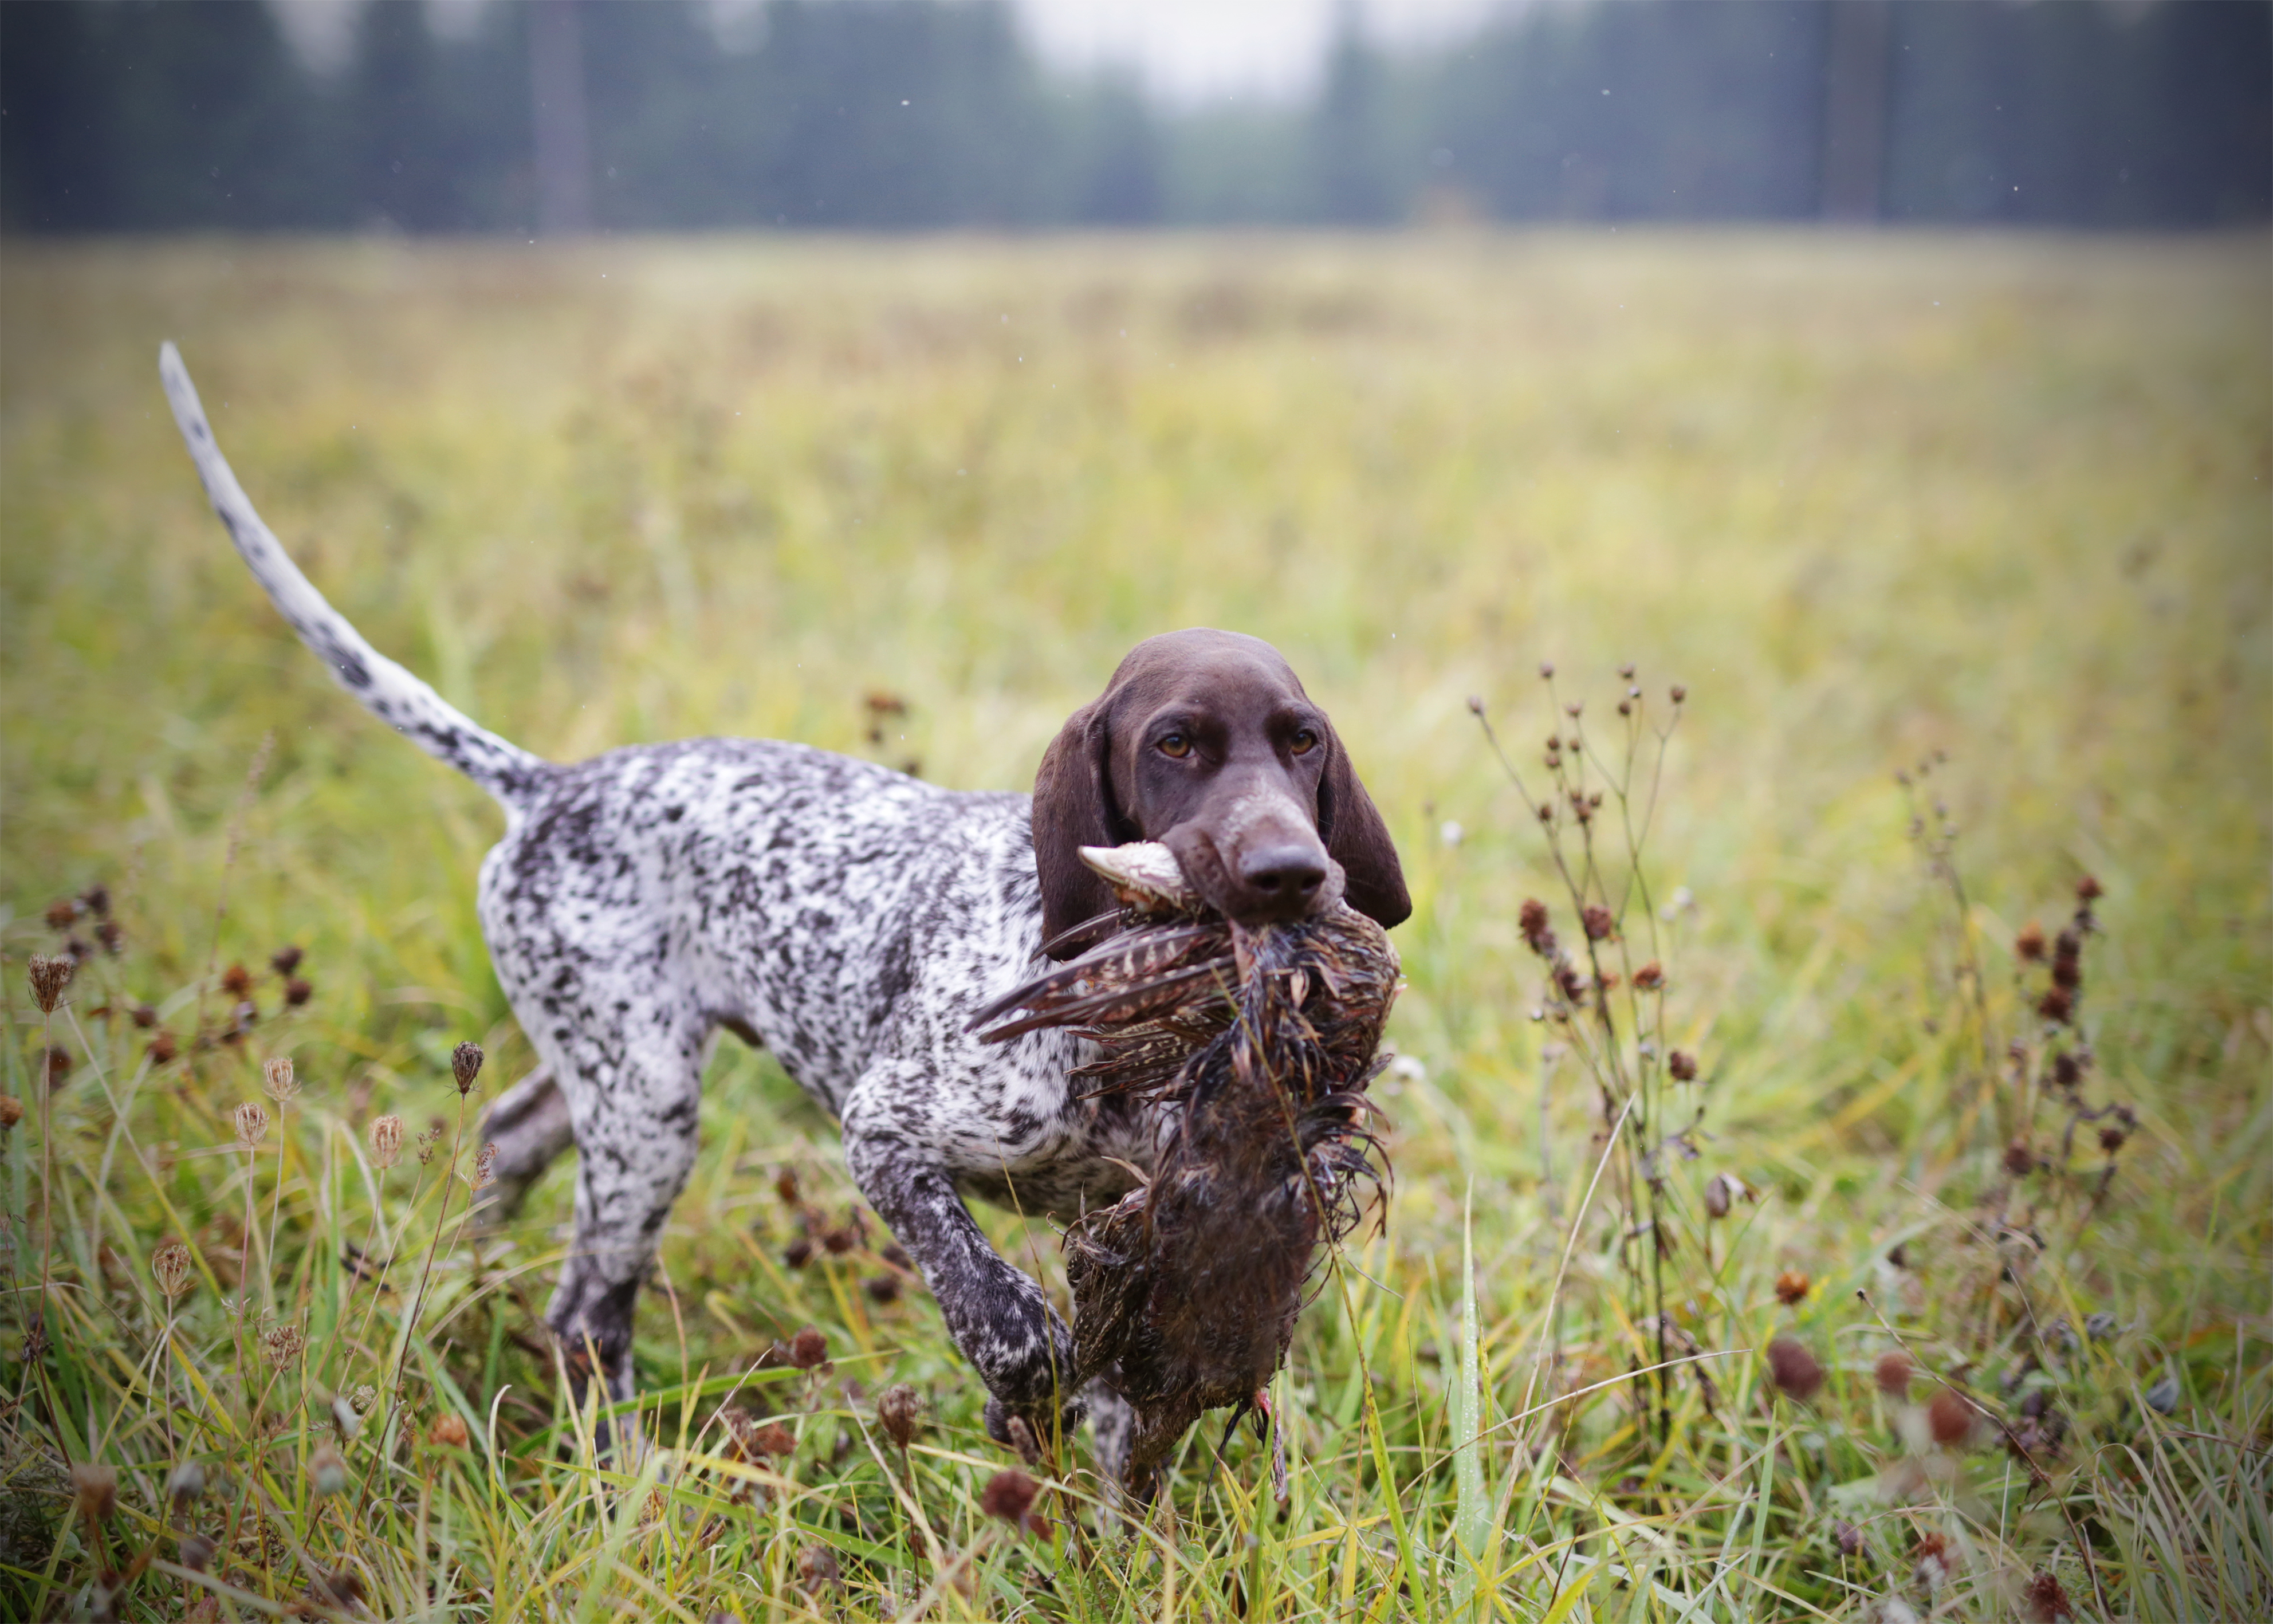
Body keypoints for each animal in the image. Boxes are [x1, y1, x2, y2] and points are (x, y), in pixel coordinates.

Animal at [160, 341, 1400, 1456]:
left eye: (1301, 741)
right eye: (1174, 743)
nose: (1289, 874)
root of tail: (553, 786)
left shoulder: (1138, 1209)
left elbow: (1117, 1384)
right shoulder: (886, 1130)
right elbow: (999, 1312)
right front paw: (1022, 1380)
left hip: (613, 1067)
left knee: (507, 1143)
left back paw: (451, 1285)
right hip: (647, 1103)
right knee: (586, 1314)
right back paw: (625, 1472)